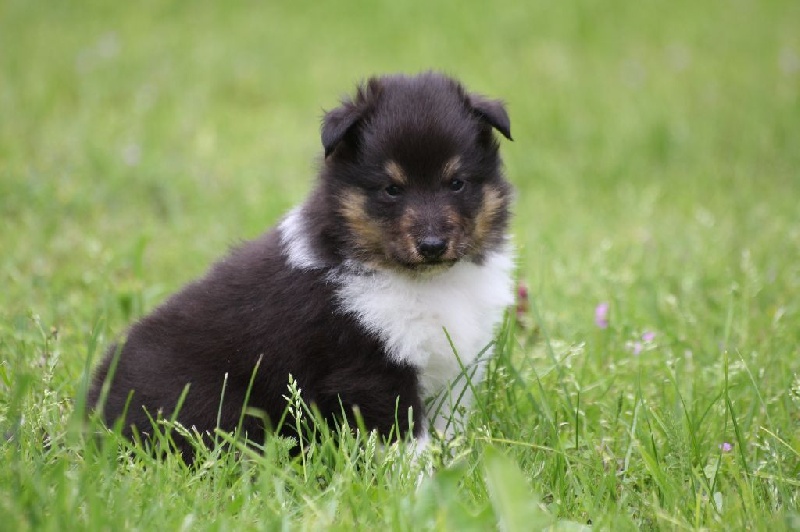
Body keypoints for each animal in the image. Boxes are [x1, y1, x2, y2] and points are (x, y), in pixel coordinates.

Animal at [86, 72, 512, 460]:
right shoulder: (369, 371)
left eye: (456, 183)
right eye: (392, 189)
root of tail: (93, 410)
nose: (432, 246)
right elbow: (406, 443)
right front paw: (420, 484)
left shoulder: (453, 367)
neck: (425, 280)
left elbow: (446, 427)